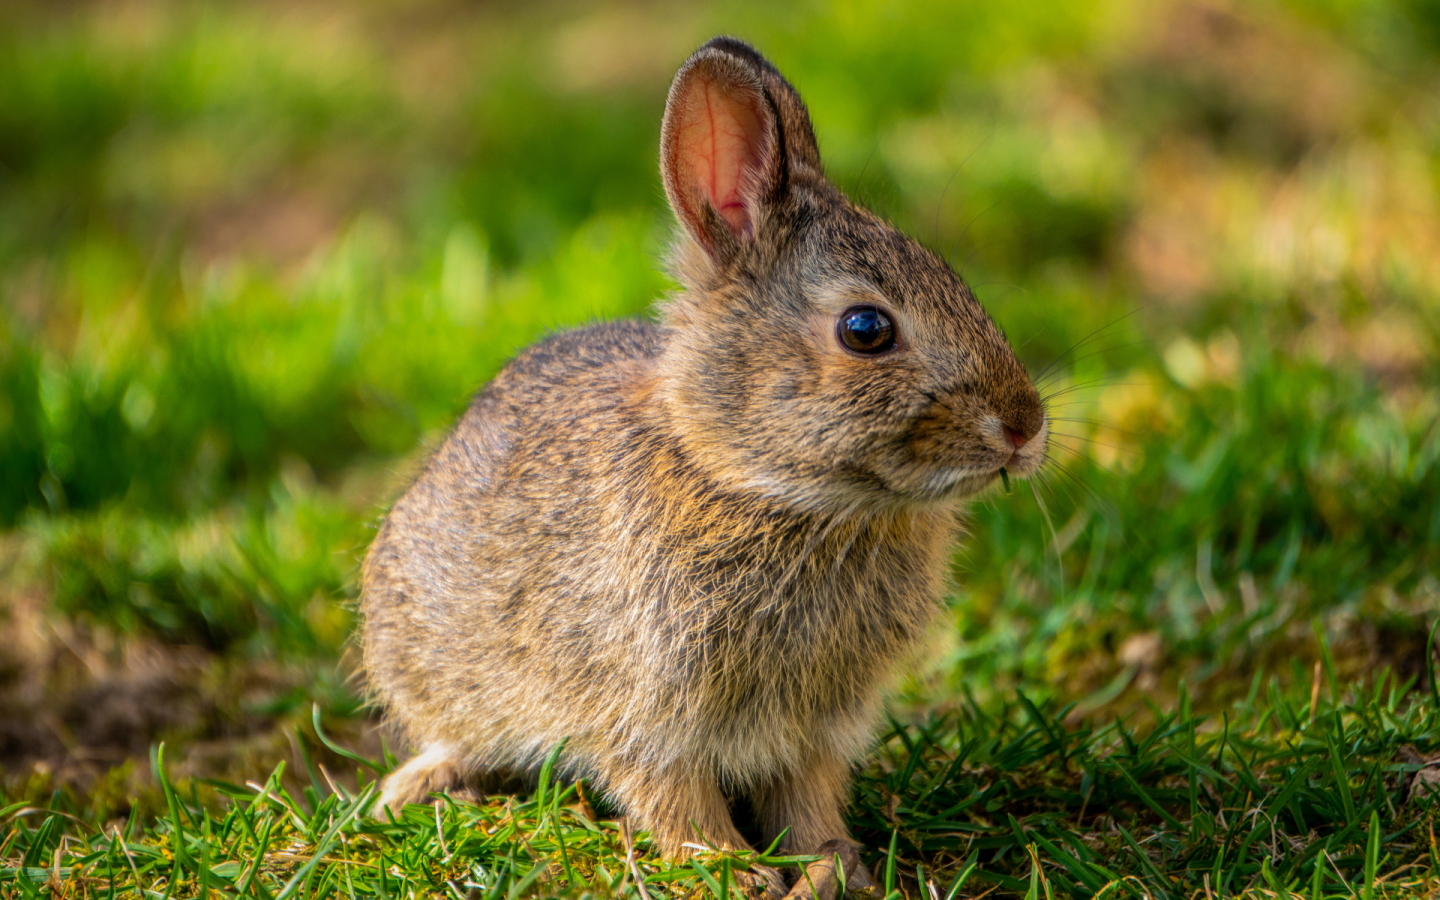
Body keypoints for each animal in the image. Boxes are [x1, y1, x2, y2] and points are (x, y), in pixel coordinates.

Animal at [362, 35, 1048, 898]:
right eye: (866, 329)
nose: (1025, 427)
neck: (762, 488)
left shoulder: (813, 728)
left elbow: (809, 799)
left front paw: (833, 867)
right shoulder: (642, 709)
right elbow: (671, 794)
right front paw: (730, 869)